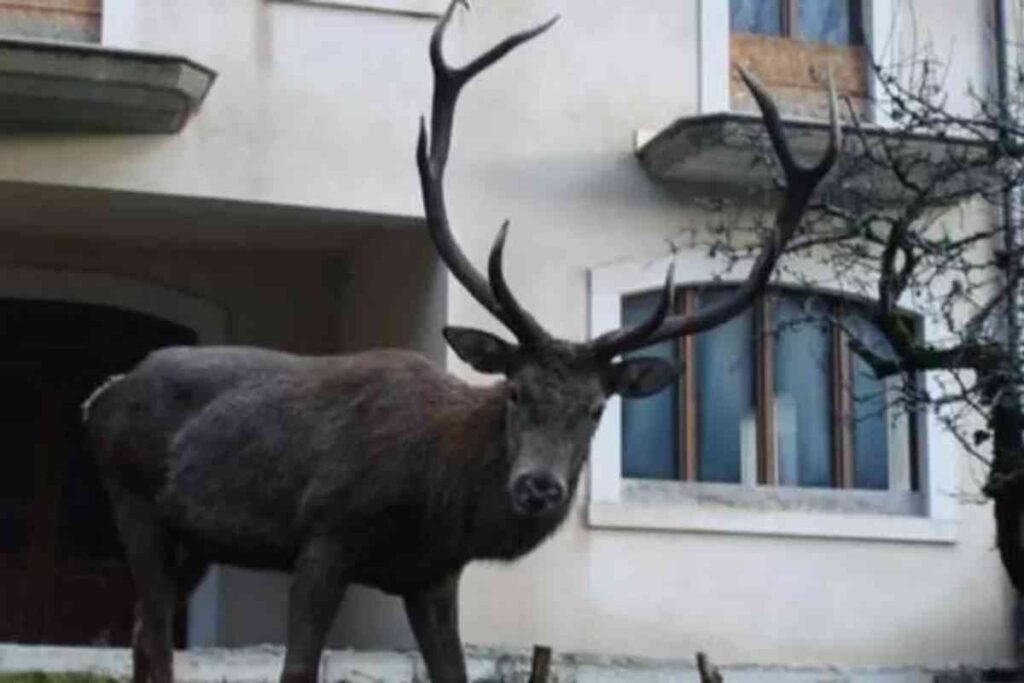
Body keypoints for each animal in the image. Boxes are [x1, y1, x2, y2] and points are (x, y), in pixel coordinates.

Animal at [82, 3, 839, 682]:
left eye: (598, 408)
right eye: (515, 390)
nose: (539, 486)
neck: (436, 500)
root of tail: (99, 397)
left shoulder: (433, 574)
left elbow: (453, 671)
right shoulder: (326, 532)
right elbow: (297, 668)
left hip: (193, 537)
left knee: (145, 638)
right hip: (133, 501)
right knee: (154, 640)